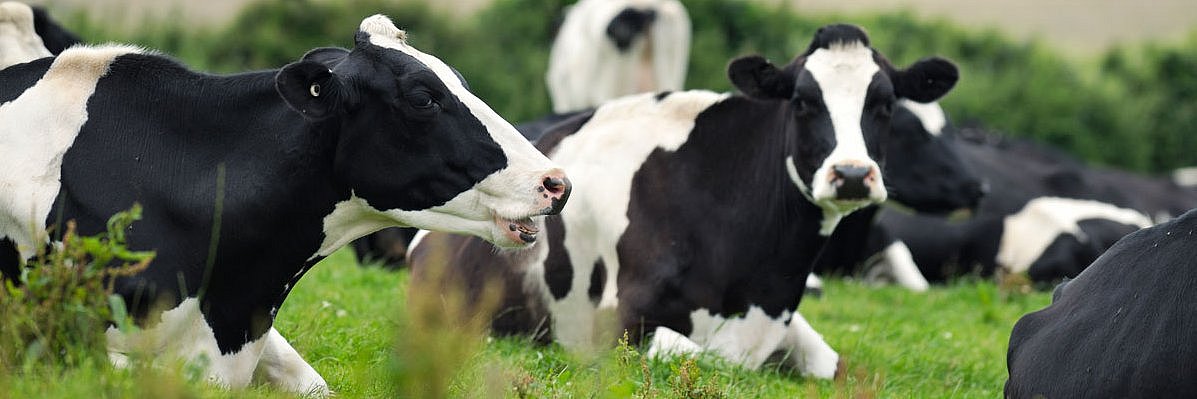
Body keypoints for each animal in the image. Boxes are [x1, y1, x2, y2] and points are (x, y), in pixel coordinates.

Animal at [406, 24, 957, 376]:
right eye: (803, 102)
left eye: (885, 105)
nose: (852, 174)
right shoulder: (620, 323)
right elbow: (693, 351)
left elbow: (833, 365)